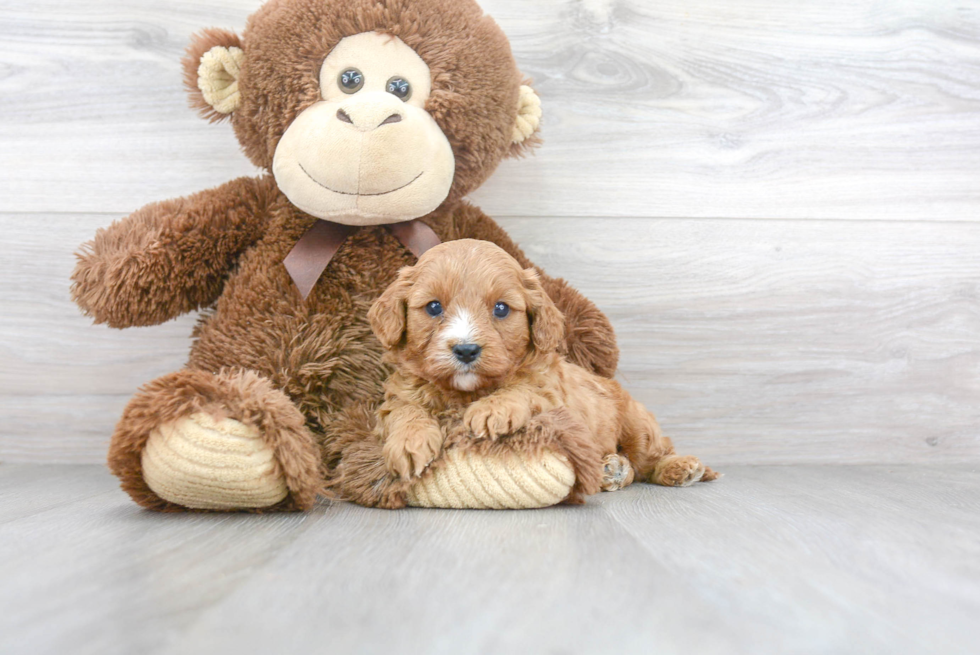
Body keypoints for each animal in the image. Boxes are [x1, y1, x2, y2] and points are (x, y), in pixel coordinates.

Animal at [368, 241, 720, 492]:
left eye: (501, 309)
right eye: (433, 307)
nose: (466, 349)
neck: (466, 392)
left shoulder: (551, 395)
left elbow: (523, 390)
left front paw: (493, 409)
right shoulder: (399, 395)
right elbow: (406, 411)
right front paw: (409, 443)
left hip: (637, 423)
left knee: (651, 458)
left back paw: (680, 468)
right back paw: (613, 470)